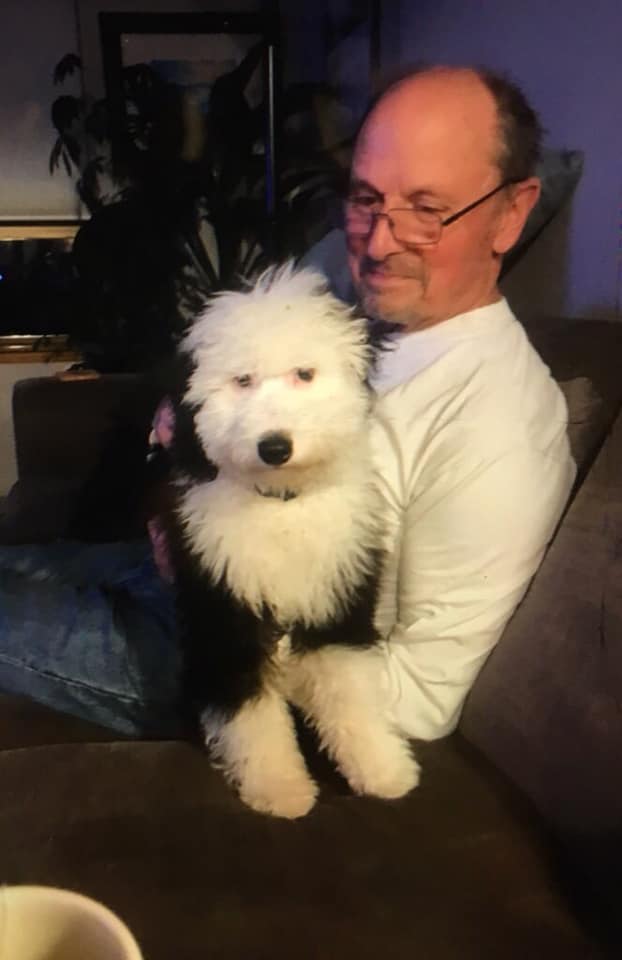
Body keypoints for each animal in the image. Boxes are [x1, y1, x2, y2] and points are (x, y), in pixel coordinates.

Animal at [166, 263, 419, 818]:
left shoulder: (339, 604)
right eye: (241, 380)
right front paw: (279, 788)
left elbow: (351, 690)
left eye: (304, 374)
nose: (274, 446)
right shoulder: (227, 615)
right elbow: (252, 714)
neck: (281, 503)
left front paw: (384, 768)